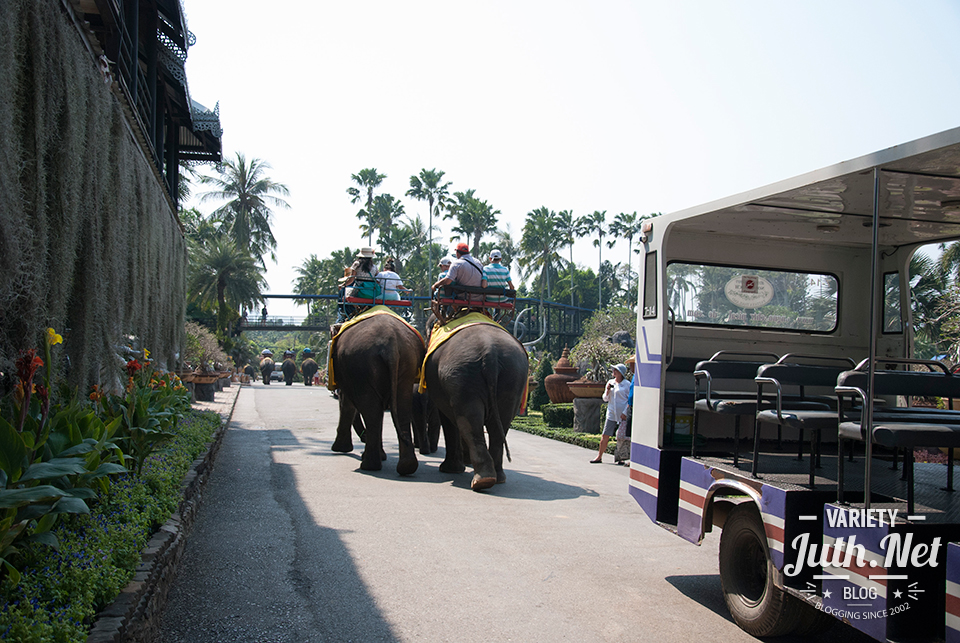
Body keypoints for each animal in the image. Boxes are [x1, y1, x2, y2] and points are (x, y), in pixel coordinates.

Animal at [330, 310, 424, 476]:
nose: (363, 437)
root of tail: (391, 344)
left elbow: (347, 403)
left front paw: (340, 449)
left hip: (361, 365)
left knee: (371, 410)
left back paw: (368, 465)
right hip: (408, 361)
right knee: (401, 408)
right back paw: (407, 466)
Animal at [422, 316, 528, 494]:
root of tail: (490, 351)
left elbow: (448, 420)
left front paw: (451, 469)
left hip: (461, 375)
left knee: (469, 423)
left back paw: (481, 481)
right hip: (512, 375)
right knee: (499, 426)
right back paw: (496, 478)